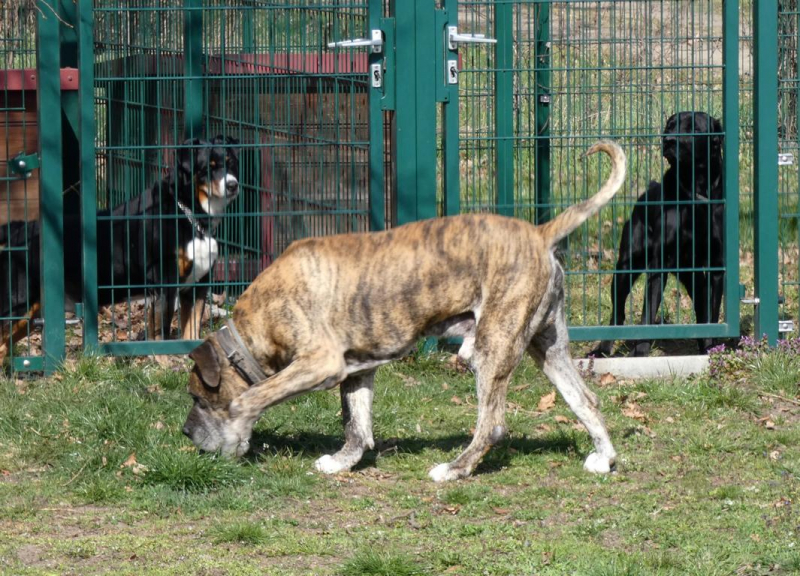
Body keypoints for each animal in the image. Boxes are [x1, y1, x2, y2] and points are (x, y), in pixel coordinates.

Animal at [0, 136, 240, 364]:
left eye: (231, 163)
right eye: (208, 167)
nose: (232, 185)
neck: (190, 214)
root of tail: (18, 230)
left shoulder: (197, 287)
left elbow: (191, 333)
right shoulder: (165, 284)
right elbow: (160, 332)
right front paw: (163, 362)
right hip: (18, 304)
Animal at [182, 140, 625, 483]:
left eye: (198, 398)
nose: (186, 433)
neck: (256, 324)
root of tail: (538, 233)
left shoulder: (319, 364)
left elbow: (251, 397)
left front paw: (239, 431)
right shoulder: (356, 369)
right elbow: (356, 425)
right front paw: (342, 462)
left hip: (491, 347)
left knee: (493, 424)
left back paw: (455, 468)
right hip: (547, 346)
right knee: (586, 399)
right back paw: (604, 458)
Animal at [591, 112, 724, 357]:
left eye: (695, 129)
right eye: (669, 127)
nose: (669, 141)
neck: (695, 194)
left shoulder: (716, 266)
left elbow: (711, 314)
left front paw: (711, 348)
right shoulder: (659, 264)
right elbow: (648, 312)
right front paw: (640, 352)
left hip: (693, 277)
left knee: (701, 309)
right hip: (626, 266)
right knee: (618, 312)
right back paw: (602, 349)